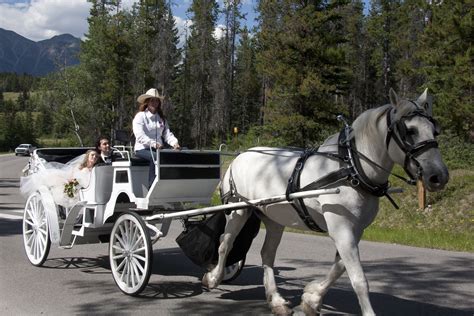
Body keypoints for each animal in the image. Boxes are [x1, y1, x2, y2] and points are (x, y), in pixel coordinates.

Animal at [202, 89, 450, 316]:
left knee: (267, 254)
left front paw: (312, 298)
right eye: (409, 131)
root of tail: (241, 155)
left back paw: (276, 300)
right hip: (238, 210)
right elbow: (359, 279)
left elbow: (339, 267)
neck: (353, 168)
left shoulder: (353, 230)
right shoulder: (341, 229)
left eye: (434, 130)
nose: (438, 176)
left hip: (274, 218)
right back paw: (214, 277)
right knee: (225, 243)